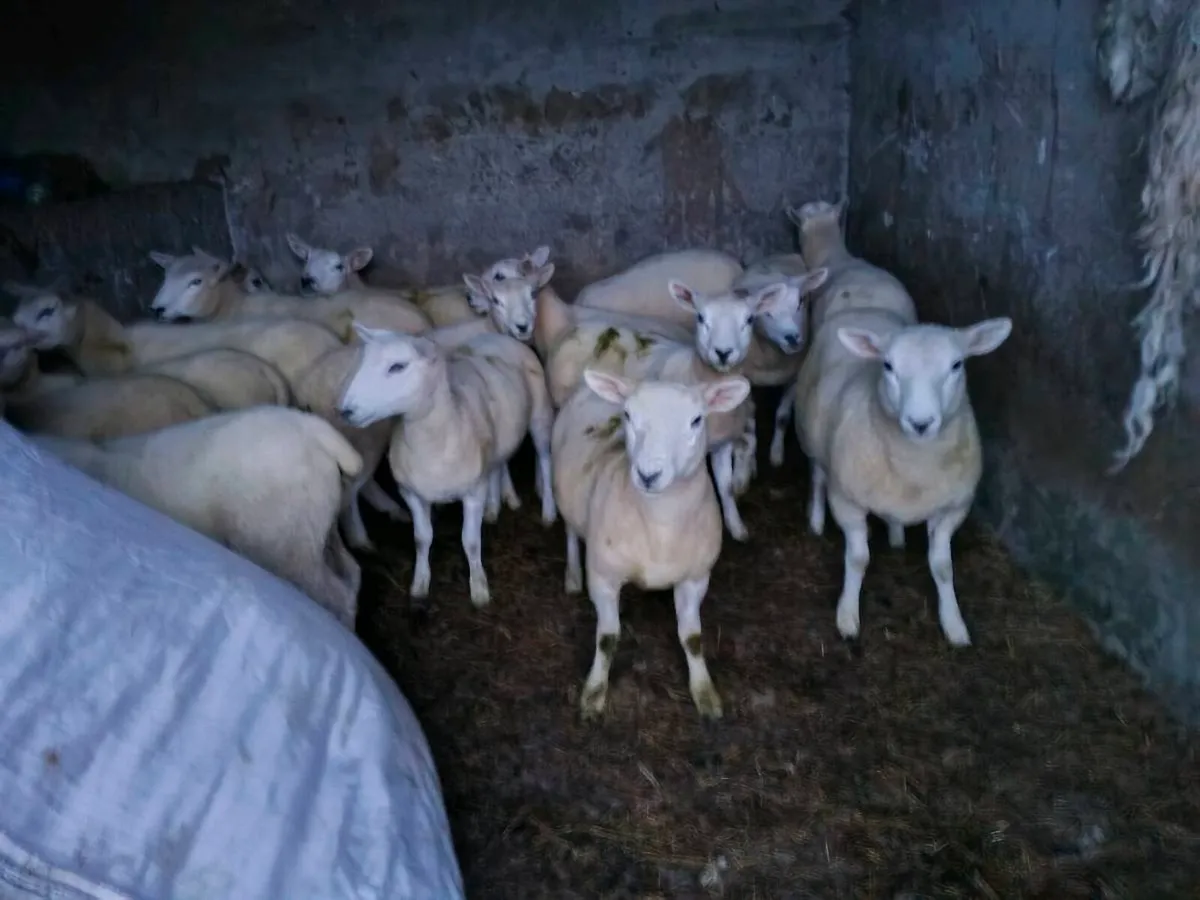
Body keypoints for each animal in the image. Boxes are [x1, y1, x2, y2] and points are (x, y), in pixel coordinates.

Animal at [337, 324, 556, 609]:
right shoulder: (411, 493)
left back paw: (548, 511)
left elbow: (470, 541)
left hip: (540, 414)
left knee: (544, 457)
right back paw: (495, 506)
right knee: (498, 464)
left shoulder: (473, 493)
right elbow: (421, 539)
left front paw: (479, 589)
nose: (345, 411)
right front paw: (419, 584)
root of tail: (498, 337)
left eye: (397, 366)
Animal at [552, 368, 751, 720]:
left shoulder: (696, 578)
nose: (648, 474)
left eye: (697, 420)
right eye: (628, 415)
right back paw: (572, 575)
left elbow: (693, 638)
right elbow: (607, 638)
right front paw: (594, 692)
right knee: (572, 532)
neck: (661, 526)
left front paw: (705, 693)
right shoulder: (603, 578)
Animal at [790, 198, 1012, 647]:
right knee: (818, 474)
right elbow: (858, 558)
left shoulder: (954, 508)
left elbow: (943, 567)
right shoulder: (848, 501)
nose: (921, 422)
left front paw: (954, 624)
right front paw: (847, 617)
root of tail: (867, 309)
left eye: (957, 365)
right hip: (815, 437)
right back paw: (816, 519)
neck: (915, 468)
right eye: (888, 366)